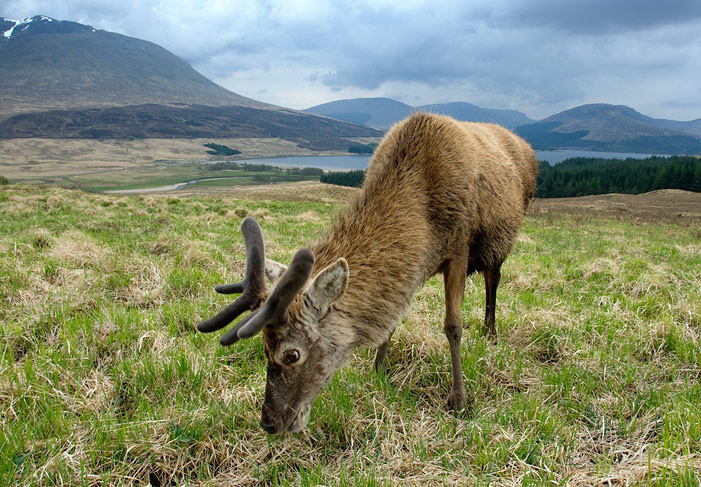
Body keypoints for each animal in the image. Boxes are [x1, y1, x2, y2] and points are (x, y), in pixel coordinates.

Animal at [197, 112, 538, 434]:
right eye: (264, 347)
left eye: (292, 354)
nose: (268, 421)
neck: (425, 223)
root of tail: (526, 146)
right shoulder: (411, 272)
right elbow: (392, 320)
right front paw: (378, 370)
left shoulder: (459, 246)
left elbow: (453, 326)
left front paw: (459, 399)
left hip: (502, 238)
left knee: (493, 278)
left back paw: (491, 332)